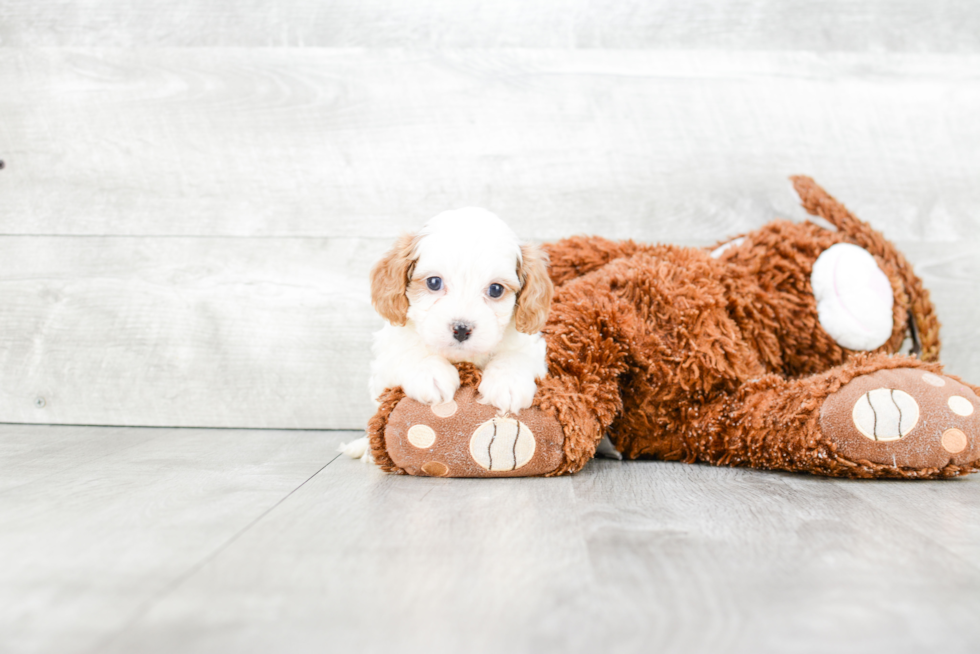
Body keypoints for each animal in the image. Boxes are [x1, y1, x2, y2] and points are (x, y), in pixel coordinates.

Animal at [338, 209, 552, 462]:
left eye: (496, 289)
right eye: (434, 282)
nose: (461, 328)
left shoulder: (531, 346)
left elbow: (515, 356)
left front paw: (508, 384)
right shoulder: (387, 359)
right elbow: (410, 349)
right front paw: (431, 374)